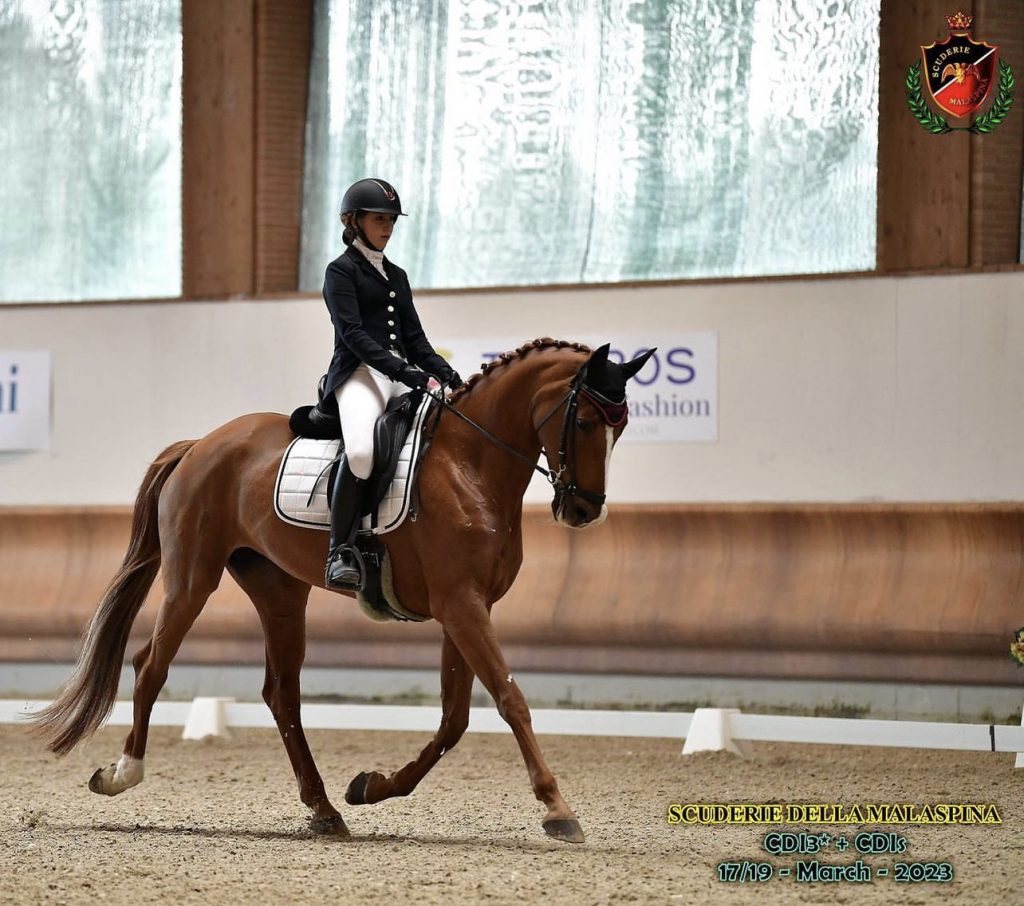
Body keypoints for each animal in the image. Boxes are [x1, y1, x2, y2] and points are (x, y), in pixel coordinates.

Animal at [32, 338, 654, 844]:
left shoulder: (466, 606)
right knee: (151, 665)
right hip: (192, 578)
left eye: (621, 427)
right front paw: (557, 809)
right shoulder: (461, 605)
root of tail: (202, 443)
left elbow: (454, 720)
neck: (470, 464)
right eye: (584, 423)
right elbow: (510, 699)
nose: (583, 510)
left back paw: (326, 808)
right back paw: (121, 774)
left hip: (279, 590)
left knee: (281, 692)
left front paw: (372, 786)